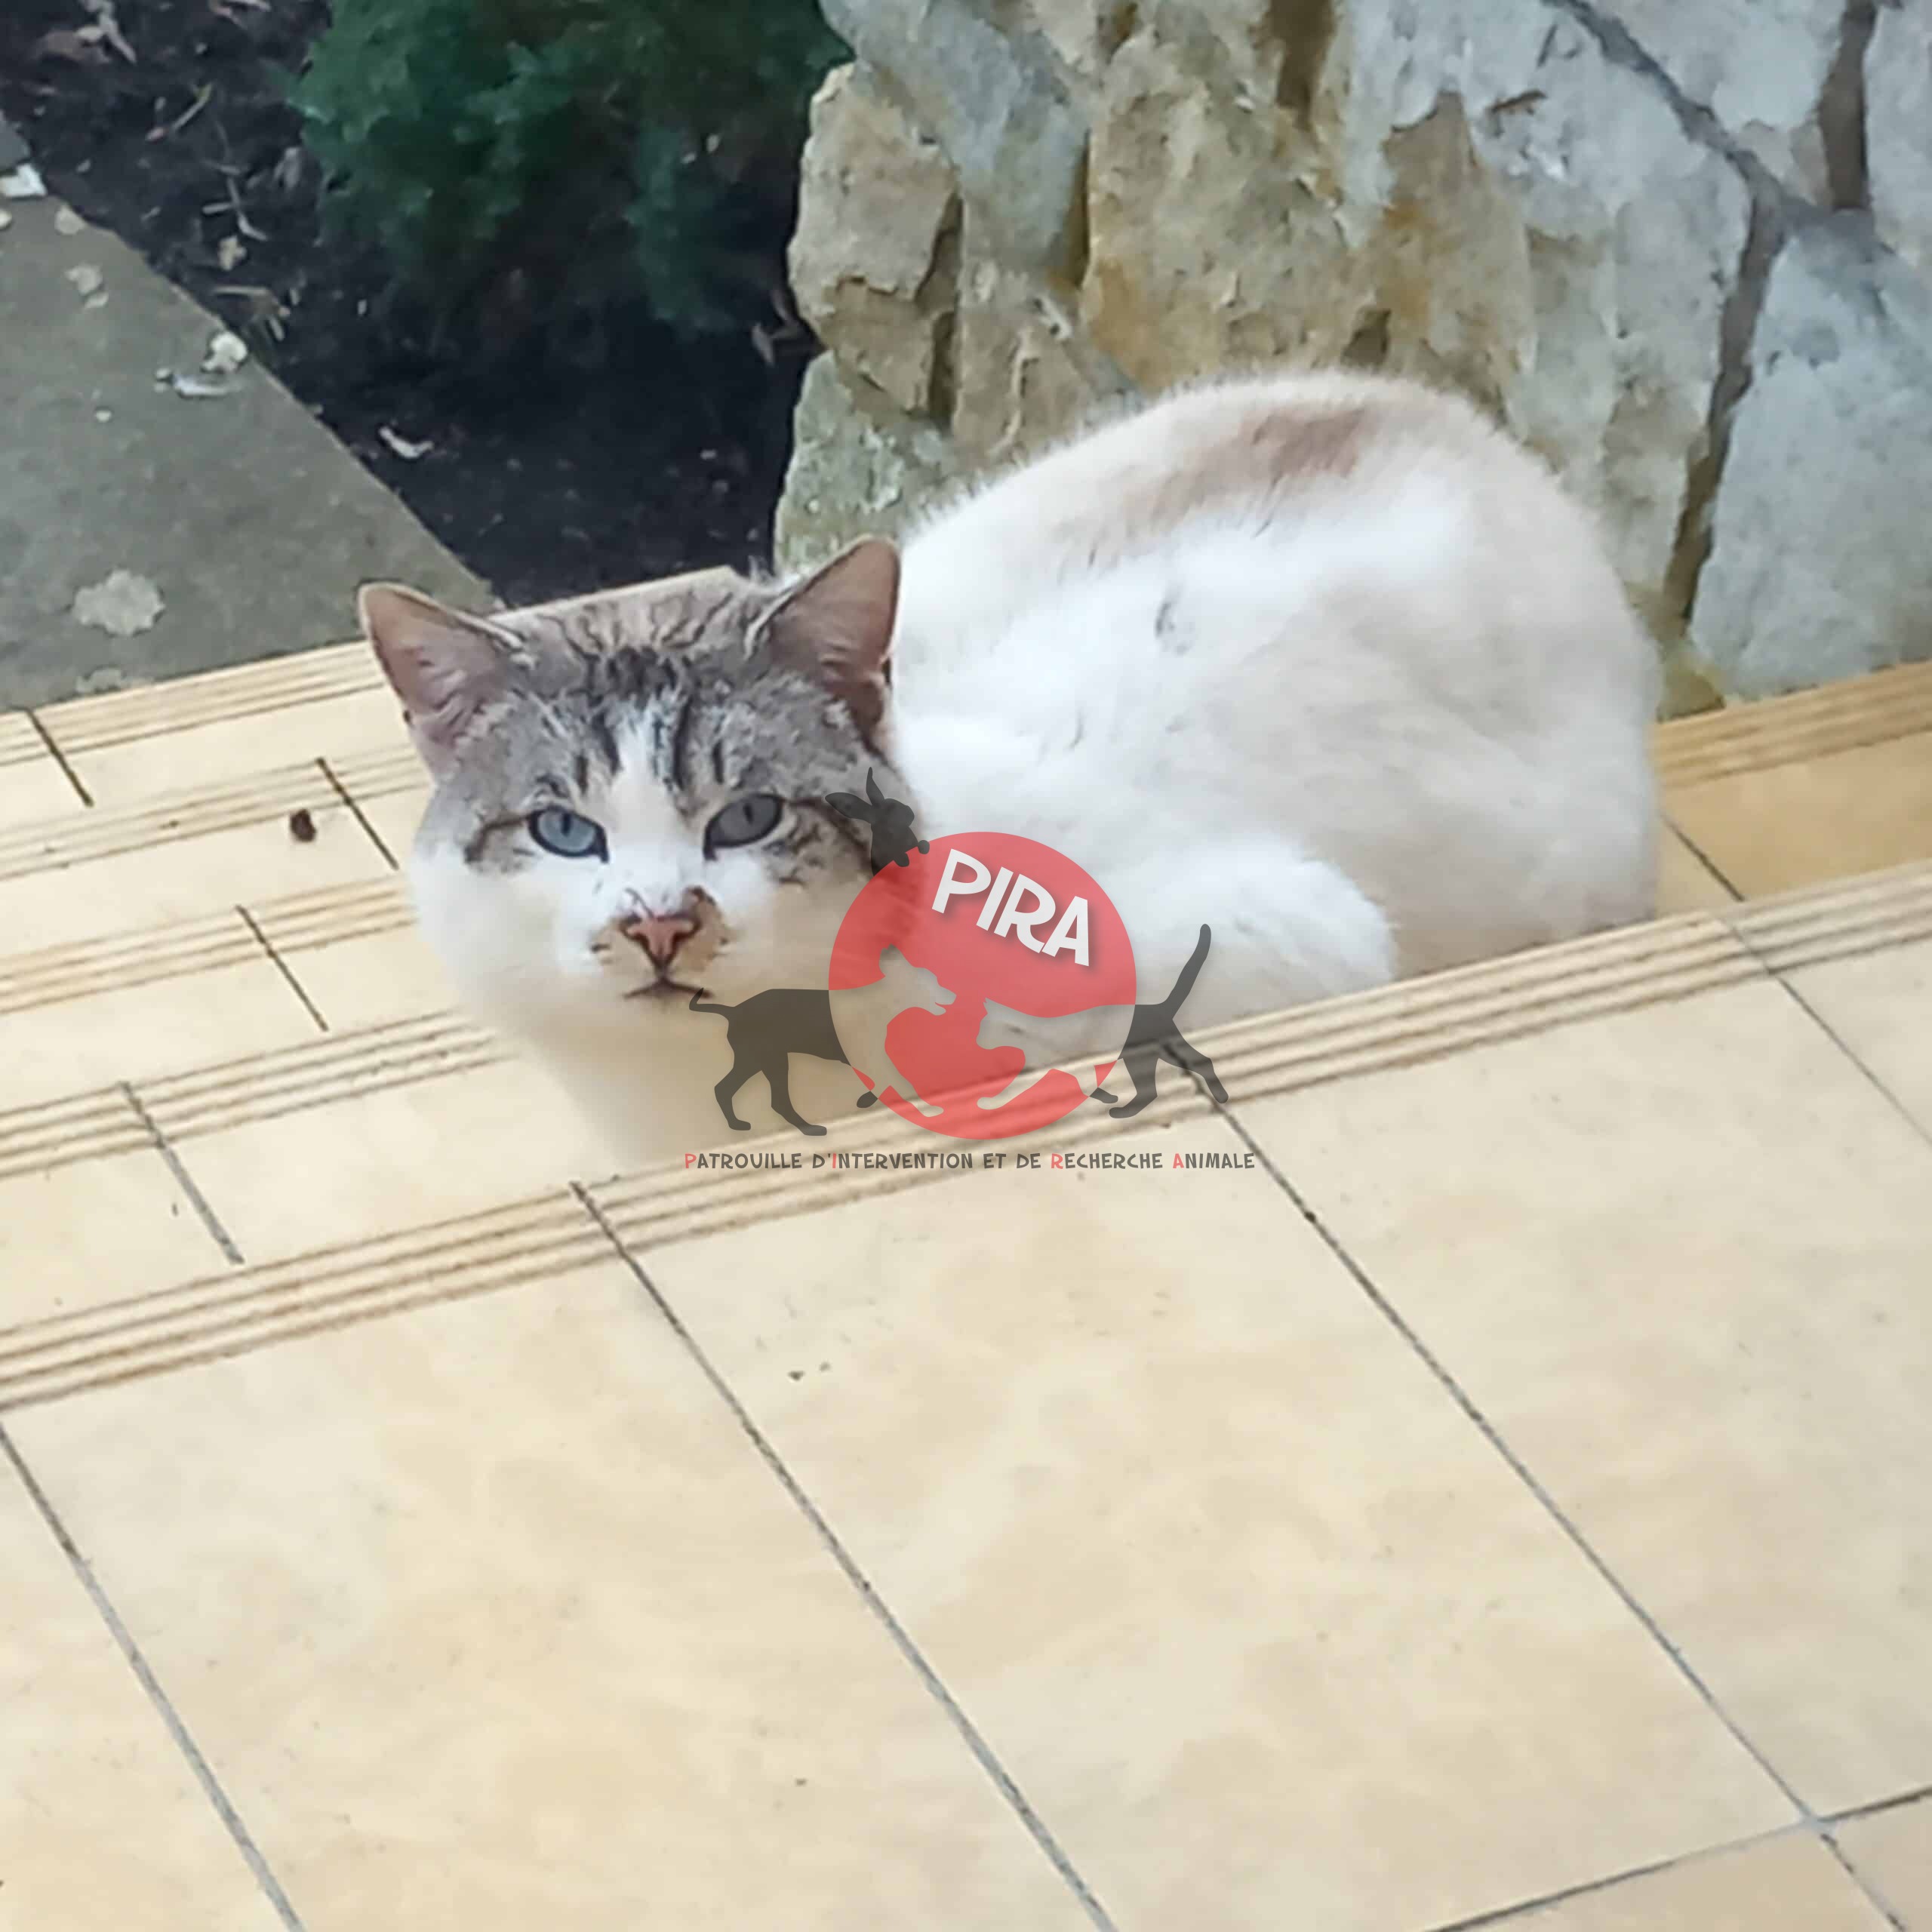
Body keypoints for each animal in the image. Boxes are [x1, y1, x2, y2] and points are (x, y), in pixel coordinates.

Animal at [687, 943, 954, 1135]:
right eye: (934, 981)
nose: (953, 994)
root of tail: (734, 1010)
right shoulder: (870, 1056)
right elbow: (893, 1082)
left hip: (755, 1061)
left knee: (725, 1089)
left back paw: (738, 1125)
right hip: (770, 1060)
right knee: (776, 1101)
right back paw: (810, 1129)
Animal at [976, 924, 1228, 1118]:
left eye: (982, 1029)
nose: (977, 1040)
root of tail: (1158, 1006)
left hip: (1138, 1056)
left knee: (1152, 1089)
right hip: (1162, 1051)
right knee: (1200, 1063)